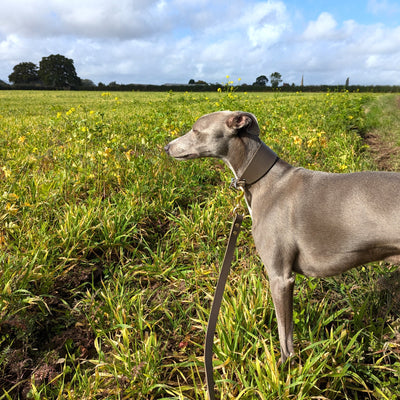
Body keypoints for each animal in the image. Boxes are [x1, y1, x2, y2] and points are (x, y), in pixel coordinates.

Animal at [163, 110, 400, 362]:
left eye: (196, 130)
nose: (166, 147)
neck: (265, 180)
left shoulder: (280, 277)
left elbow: (284, 335)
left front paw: (285, 367)